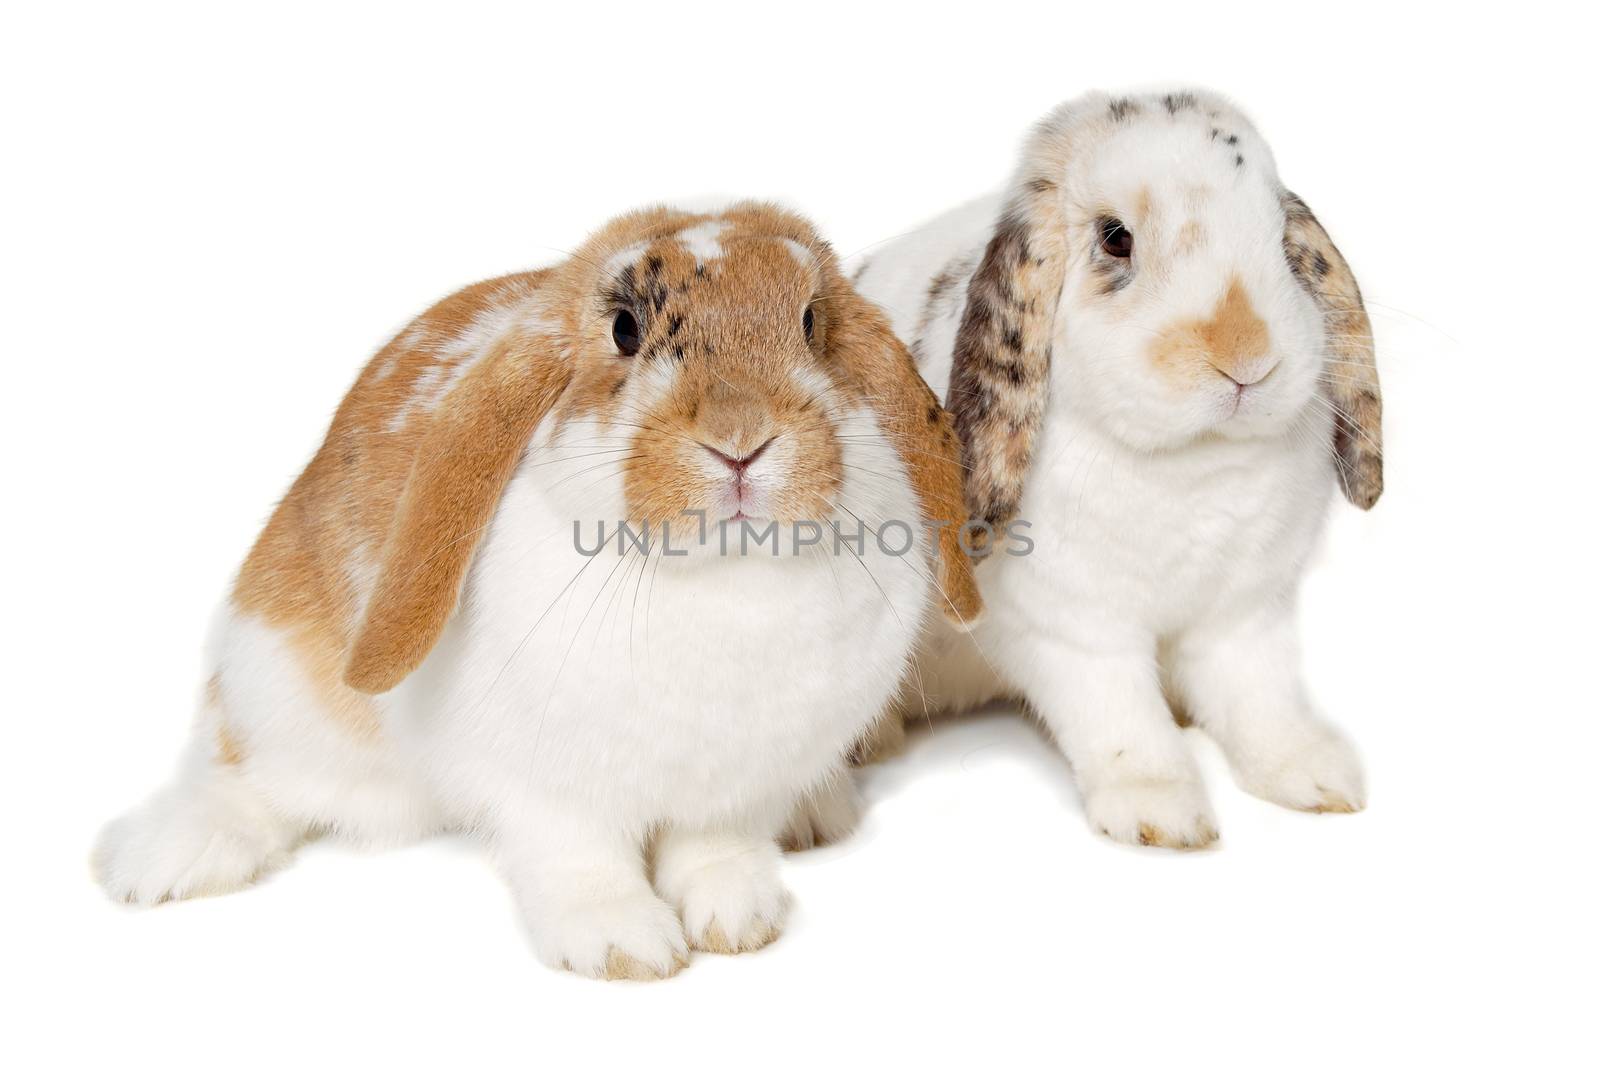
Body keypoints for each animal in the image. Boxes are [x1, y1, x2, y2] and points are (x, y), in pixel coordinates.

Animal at [96, 199, 985, 979]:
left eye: (809, 322)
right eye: (624, 330)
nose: (740, 438)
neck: (724, 578)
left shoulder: (739, 786)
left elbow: (717, 847)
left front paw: (737, 917)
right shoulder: (547, 791)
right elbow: (581, 861)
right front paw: (626, 946)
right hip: (273, 682)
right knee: (248, 777)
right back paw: (163, 861)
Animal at [851, 85, 1388, 851]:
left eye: (1281, 238)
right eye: (1115, 238)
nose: (1248, 360)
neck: (1193, 463)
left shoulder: (1244, 615)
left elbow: (1261, 694)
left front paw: (1315, 775)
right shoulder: (1077, 632)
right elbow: (1120, 717)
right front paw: (1161, 814)